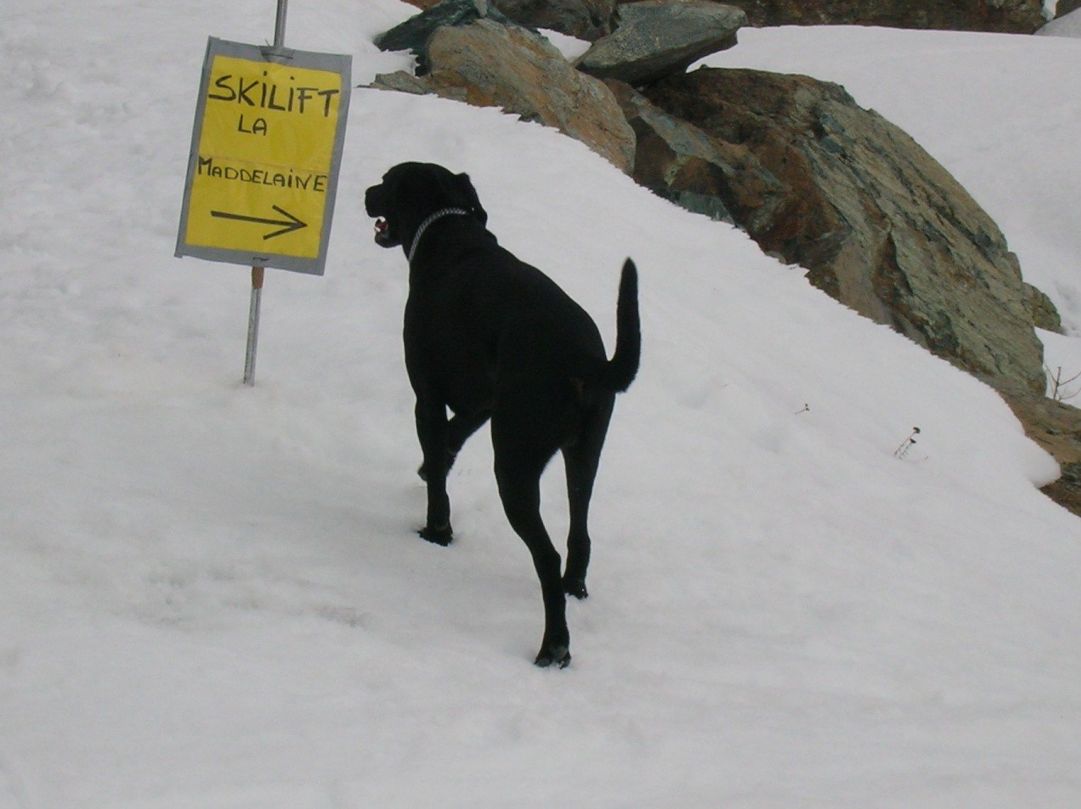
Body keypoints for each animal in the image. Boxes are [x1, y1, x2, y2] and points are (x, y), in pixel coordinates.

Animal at [365, 161, 631, 666]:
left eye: (388, 181)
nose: (367, 192)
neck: (449, 228)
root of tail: (587, 360)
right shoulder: (484, 401)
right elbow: (450, 440)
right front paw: (429, 471)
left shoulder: (428, 394)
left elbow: (438, 463)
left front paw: (437, 532)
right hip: (583, 454)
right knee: (580, 533)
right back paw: (574, 587)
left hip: (514, 462)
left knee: (546, 557)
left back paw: (554, 646)